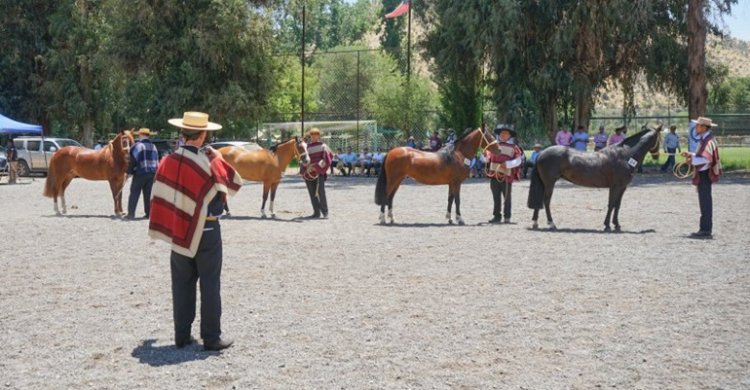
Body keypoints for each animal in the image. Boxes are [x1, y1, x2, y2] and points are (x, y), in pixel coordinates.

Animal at [528, 124, 664, 232]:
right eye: (659, 138)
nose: (657, 156)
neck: (625, 155)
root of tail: (542, 153)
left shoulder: (622, 187)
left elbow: (617, 205)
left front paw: (617, 225)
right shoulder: (615, 186)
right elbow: (611, 204)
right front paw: (607, 225)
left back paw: (535, 223)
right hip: (549, 183)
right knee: (546, 201)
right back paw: (551, 224)